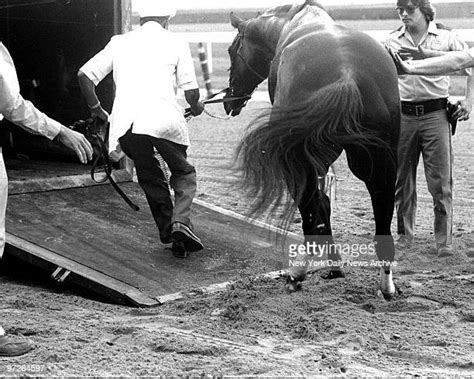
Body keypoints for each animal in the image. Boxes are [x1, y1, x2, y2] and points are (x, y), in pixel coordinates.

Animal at [225, 0, 400, 300]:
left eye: (231, 50)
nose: (229, 99)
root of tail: (346, 74)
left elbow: (320, 206)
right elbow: (326, 203)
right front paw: (335, 265)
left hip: (299, 162)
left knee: (309, 212)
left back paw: (297, 273)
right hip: (379, 163)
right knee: (381, 216)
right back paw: (386, 285)